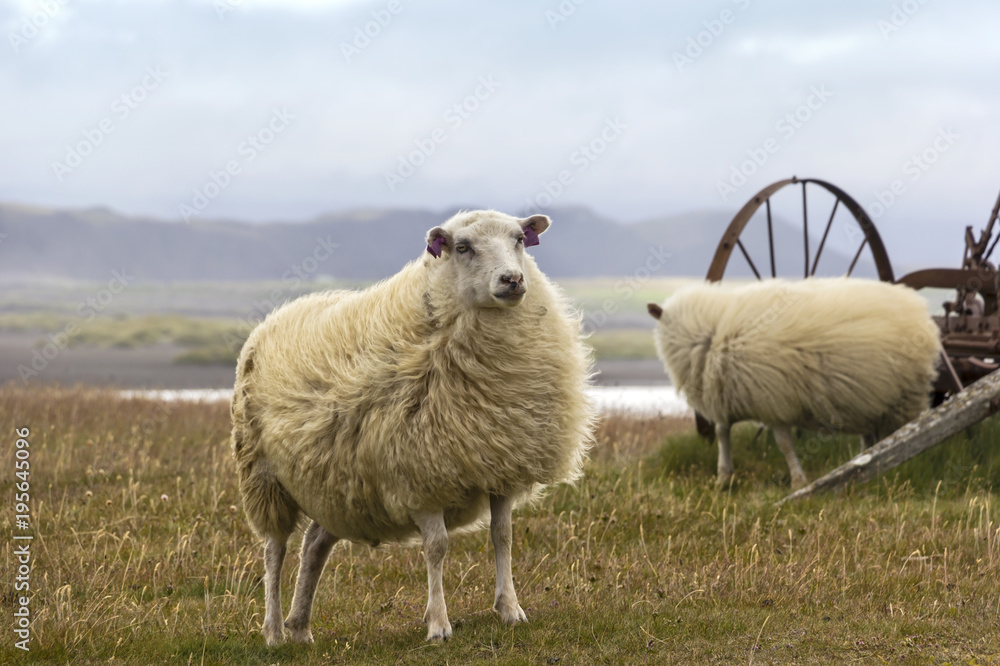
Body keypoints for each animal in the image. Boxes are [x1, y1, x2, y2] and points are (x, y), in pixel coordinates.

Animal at [232, 209, 592, 644]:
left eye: (520, 239)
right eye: (462, 247)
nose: (512, 280)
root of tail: (274, 318)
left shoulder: (498, 464)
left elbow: (502, 535)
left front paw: (510, 609)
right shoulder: (418, 474)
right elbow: (436, 547)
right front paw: (438, 623)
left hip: (333, 484)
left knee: (314, 544)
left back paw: (300, 627)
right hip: (262, 475)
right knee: (274, 549)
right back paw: (273, 631)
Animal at [648, 276, 944, 488]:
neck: (712, 332)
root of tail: (919, 309)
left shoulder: (773, 401)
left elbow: (783, 444)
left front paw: (798, 480)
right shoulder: (727, 395)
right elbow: (722, 433)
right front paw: (723, 477)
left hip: (905, 395)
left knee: (908, 431)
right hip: (873, 401)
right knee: (873, 436)